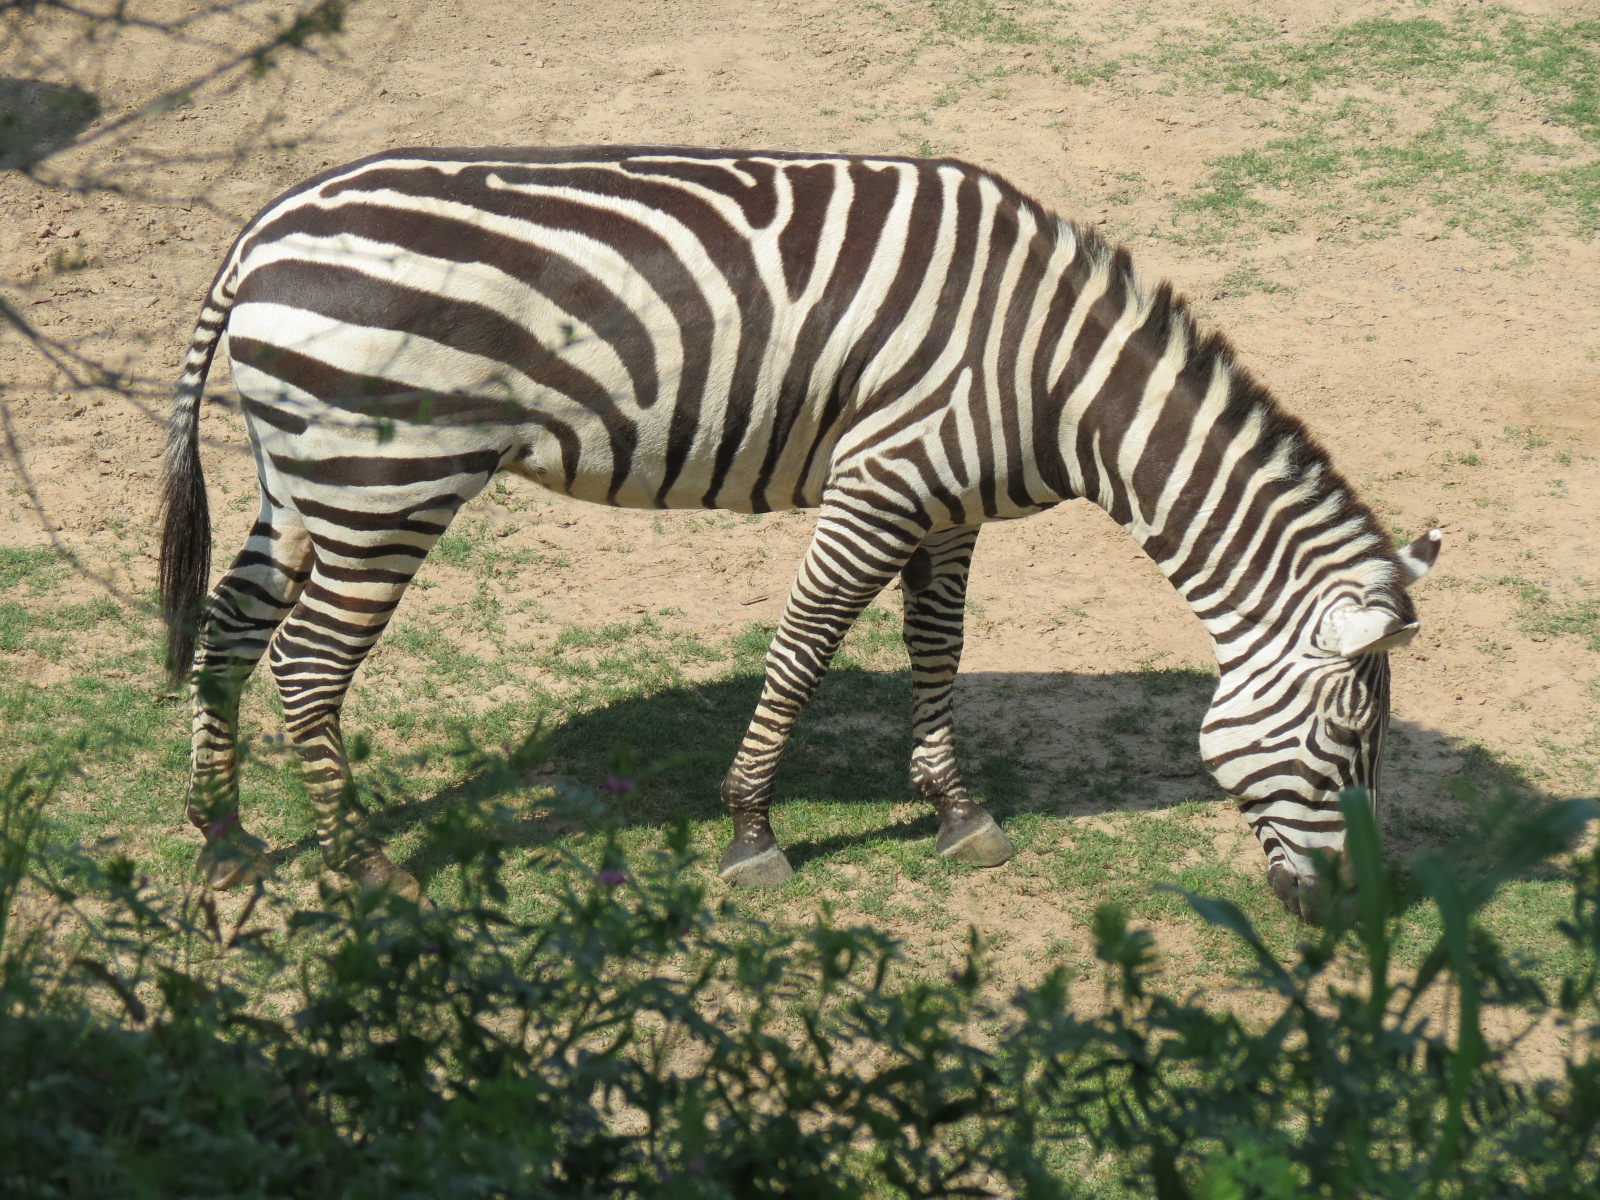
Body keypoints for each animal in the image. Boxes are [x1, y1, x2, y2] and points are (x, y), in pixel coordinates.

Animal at [159, 145, 1441, 919]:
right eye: (1348, 741)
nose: (1360, 911)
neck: (1055, 374)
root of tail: (265, 228)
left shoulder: (947, 506)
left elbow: (937, 649)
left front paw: (955, 811)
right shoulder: (881, 481)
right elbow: (806, 648)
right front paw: (750, 829)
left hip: (304, 479)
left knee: (229, 629)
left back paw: (223, 835)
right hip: (385, 484)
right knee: (308, 666)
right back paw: (361, 864)